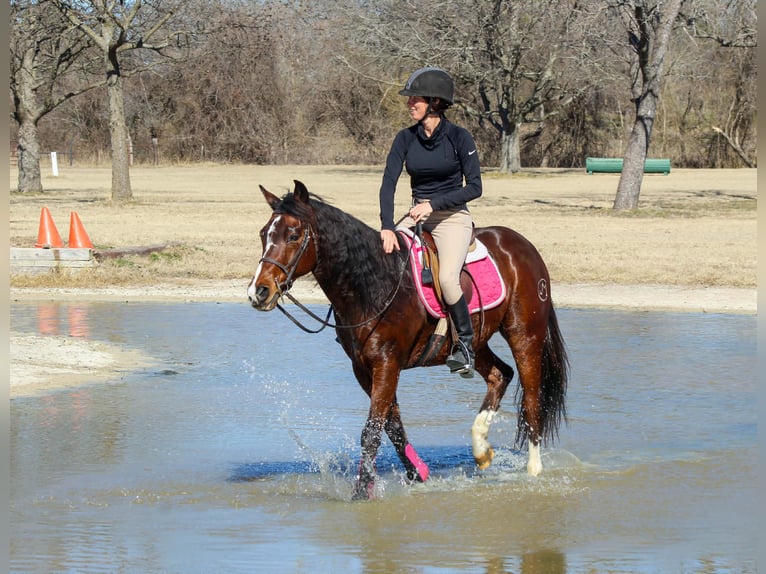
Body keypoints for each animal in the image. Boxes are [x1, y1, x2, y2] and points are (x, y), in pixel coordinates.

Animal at [248, 180, 569, 500]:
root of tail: (523, 246)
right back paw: (481, 451)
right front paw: (417, 475)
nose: (258, 292)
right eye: (264, 234)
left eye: (293, 235)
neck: (374, 283)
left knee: (531, 400)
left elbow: (372, 430)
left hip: (525, 335)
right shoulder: (364, 369)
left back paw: (533, 470)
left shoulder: (387, 364)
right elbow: (393, 426)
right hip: (477, 343)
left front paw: (361, 493)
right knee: (500, 375)